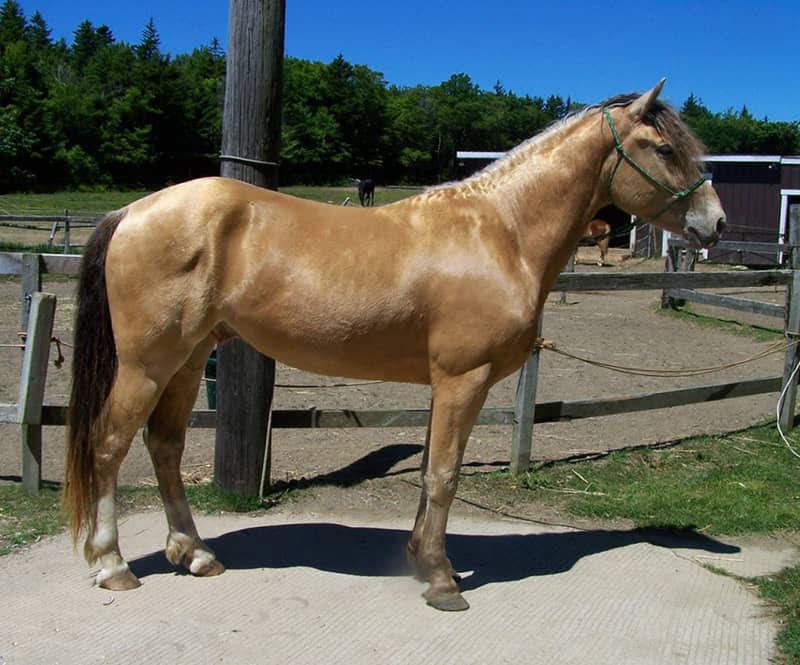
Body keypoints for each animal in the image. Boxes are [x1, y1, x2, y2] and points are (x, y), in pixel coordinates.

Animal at [63, 80, 725, 612]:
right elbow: (445, 474)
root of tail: (134, 210)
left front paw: (422, 561)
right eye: (664, 148)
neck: (501, 232)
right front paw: (442, 581)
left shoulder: (444, 384)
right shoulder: (463, 379)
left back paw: (196, 554)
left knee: (164, 446)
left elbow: (434, 469)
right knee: (109, 445)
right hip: (147, 365)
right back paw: (113, 566)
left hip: (190, 357)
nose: (714, 224)